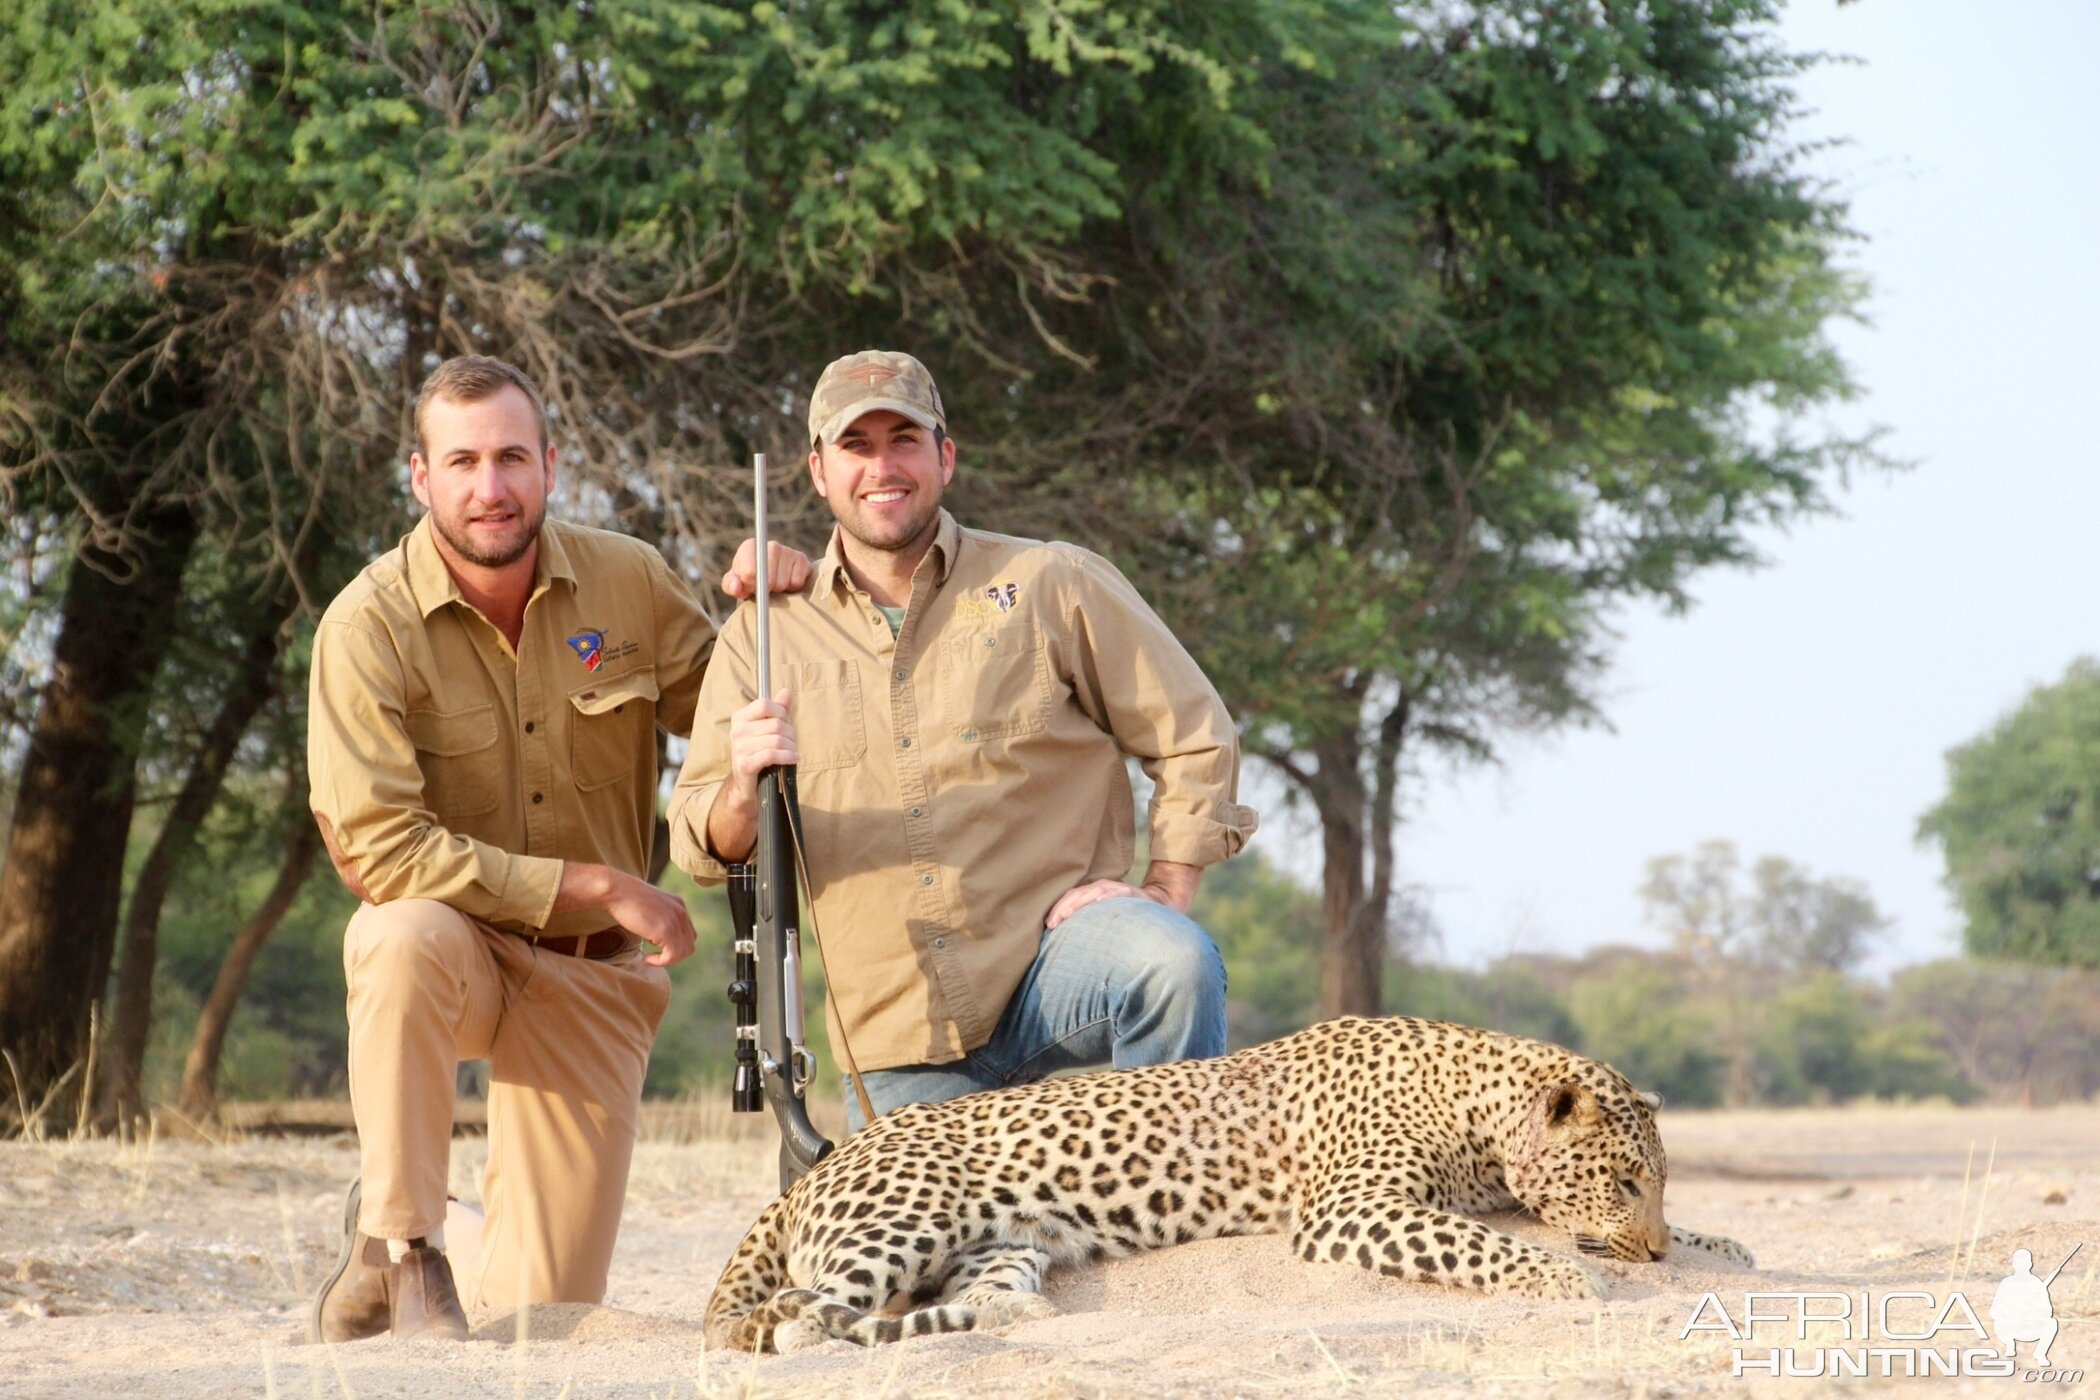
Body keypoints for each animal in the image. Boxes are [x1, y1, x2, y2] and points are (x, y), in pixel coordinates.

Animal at [705, 1020, 1755, 1360]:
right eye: (1623, 1179)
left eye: (1658, 1184)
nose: (1653, 1249)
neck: (1475, 1103)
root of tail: (827, 1158)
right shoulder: (1352, 1213)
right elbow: (1493, 1247)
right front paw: (1577, 1282)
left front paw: (1721, 1247)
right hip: (900, 1225)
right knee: (791, 1318)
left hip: (1004, 1248)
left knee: (976, 1298)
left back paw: (1021, 1323)